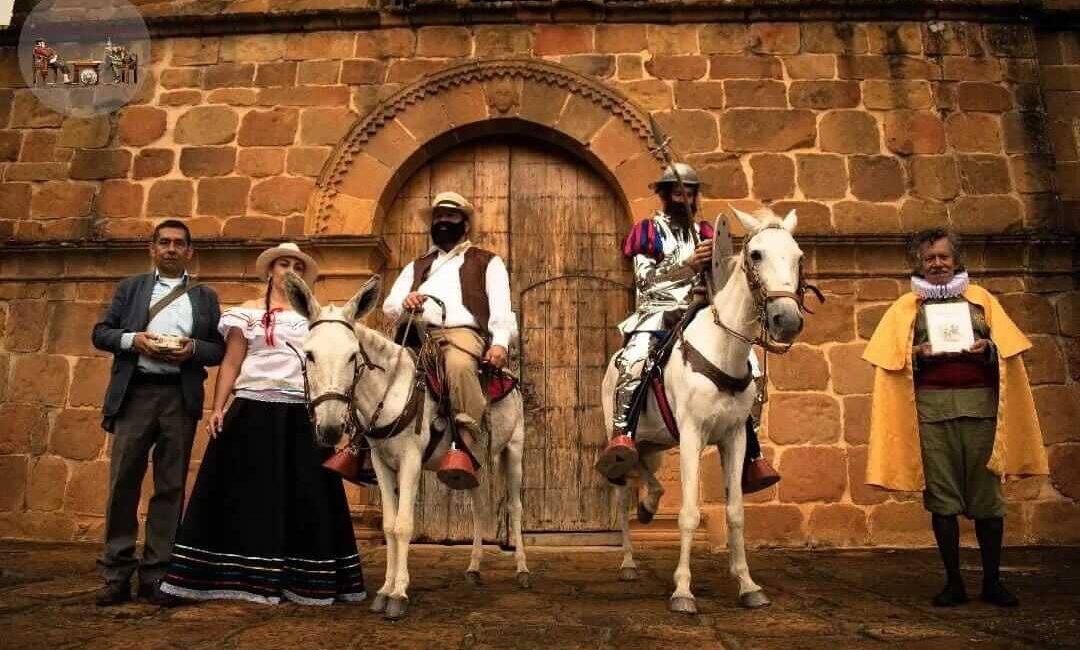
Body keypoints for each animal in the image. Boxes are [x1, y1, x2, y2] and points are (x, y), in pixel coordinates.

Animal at [280, 273, 529, 617]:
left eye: (352, 355)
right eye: (309, 354)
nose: (330, 428)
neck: (392, 392)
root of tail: (506, 374)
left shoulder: (411, 461)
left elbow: (403, 526)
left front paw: (398, 595)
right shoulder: (382, 464)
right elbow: (388, 526)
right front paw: (385, 590)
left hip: (514, 450)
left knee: (516, 507)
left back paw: (522, 570)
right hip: (472, 463)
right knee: (479, 507)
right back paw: (474, 568)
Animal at [604, 207, 807, 613]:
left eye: (798, 257)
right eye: (756, 254)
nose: (787, 321)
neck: (723, 349)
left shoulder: (734, 437)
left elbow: (736, 513)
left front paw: (746, 583)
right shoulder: (692, 435)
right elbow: (688, 514)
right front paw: (683, 591)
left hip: (656, 442)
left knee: (646, 472)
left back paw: (649, 504)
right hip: (625, 436)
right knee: (623, 486)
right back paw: (629, 561)